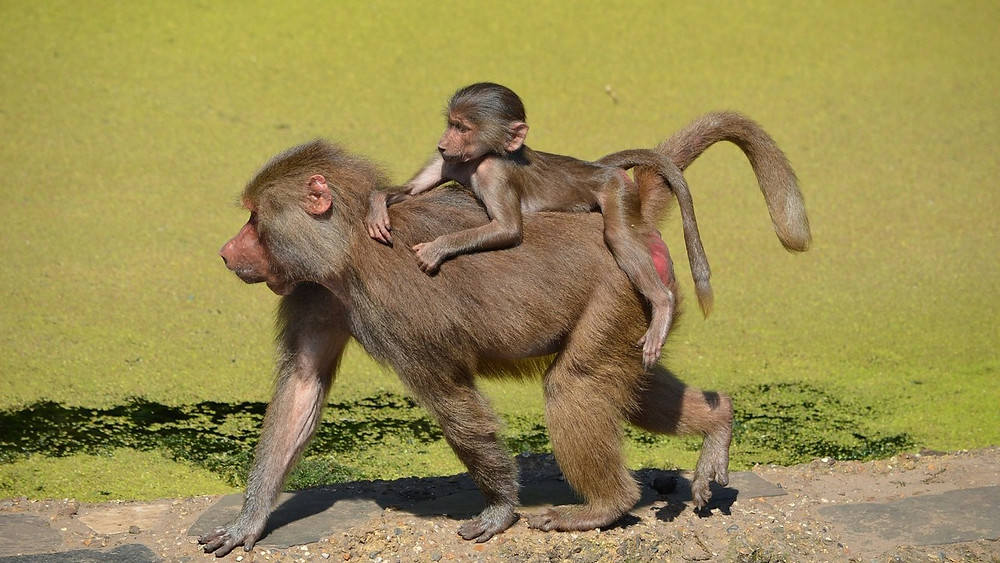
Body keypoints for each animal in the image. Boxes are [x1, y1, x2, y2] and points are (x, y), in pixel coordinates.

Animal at [365, 83, 712, 369]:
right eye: (450, 123)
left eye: (461, 127)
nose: (441, 143)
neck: (479, 158)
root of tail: (597, 168)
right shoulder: (449, 162)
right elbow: (413, 190)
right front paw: (377, 206)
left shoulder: (495, 174)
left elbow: (508, 229)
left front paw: (436, 249)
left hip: (615, 189)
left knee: (618, 237)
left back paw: (662, 303)